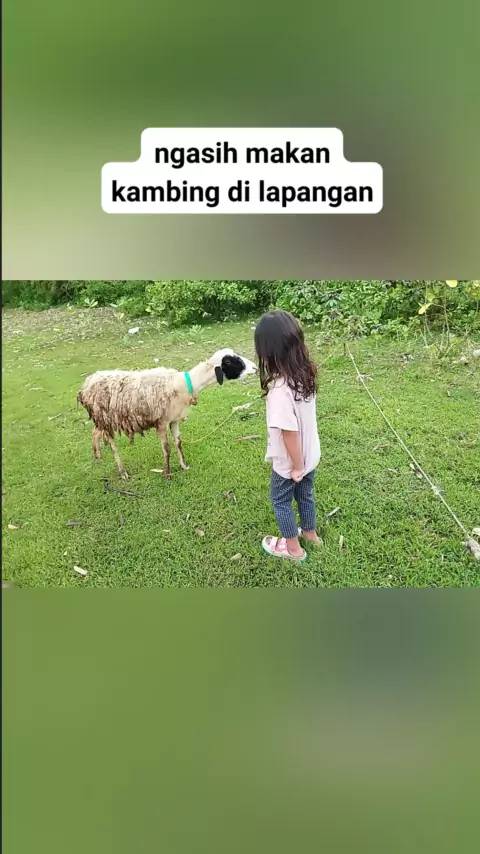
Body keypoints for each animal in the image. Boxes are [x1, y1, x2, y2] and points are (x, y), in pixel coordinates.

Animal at [77, 348, 256, 480]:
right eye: (229, 361)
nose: (255, 367)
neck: (185, 383)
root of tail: (86, 384)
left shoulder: (174, 419)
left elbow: (178, 443)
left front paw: (184, 466)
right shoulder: (161, 422)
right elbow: (167, 448)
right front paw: (167, 474)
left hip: (102, 419)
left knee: (95, 432)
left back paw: (98, 455)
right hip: (105, 418)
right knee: (113, 445)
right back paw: (122, 472)